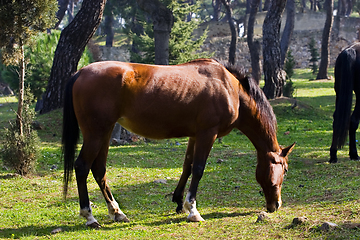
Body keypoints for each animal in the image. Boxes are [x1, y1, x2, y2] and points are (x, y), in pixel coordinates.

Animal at [62, 58, 296, 227]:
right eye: (284, 170)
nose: (276, 205)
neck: (230, 88)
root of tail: (80, 72)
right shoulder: (207, 134)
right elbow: (199, 169)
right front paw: (192, 210)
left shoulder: (195, 135)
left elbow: (187, 166)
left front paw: (178, 201)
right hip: (96, 133)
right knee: (82, 167)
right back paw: (90, 217)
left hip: (105, 132)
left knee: (99, 170)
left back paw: (116, 212)